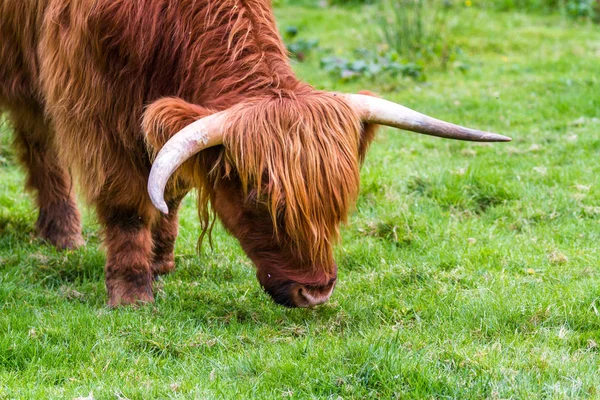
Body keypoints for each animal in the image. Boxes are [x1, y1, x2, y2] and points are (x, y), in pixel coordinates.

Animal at [0, 0, 508, 308]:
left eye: (341, 203)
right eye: (261, 200)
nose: (315, 294)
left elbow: (169, 186)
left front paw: (162, 261)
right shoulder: (94, 105)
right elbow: (127, 201)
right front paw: (132, 291)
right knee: (40, 145)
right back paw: (63, 233)